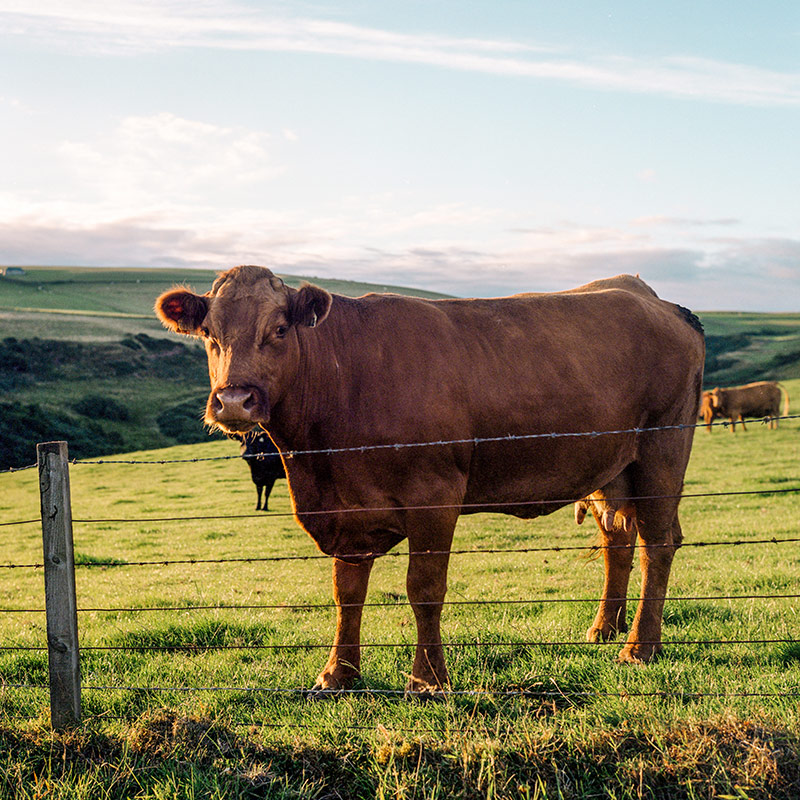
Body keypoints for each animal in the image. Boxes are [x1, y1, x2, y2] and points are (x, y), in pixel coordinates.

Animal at [158, 266, 708, 692]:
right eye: (209, 334)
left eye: (278, 329)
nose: (234, 400)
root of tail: (655, 300)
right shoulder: (347, 512)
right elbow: (346, 592)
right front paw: (338, 675)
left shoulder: (434, 498)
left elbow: (423, 589)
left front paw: (428, 680)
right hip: (612, 469)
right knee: (618, 541)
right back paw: (604, 630)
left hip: (661, 453)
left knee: (658, 544)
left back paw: (639, 648)